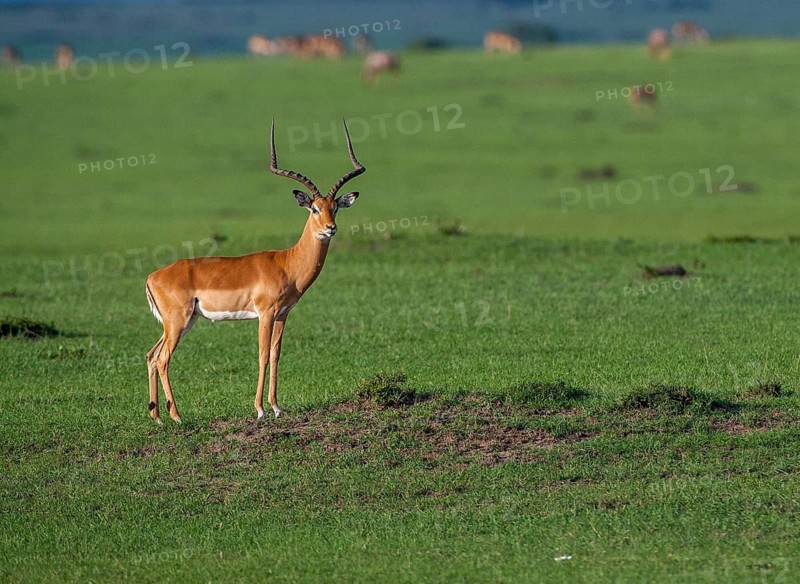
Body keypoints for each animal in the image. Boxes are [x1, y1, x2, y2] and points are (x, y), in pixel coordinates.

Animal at [145, 120, 365, 424]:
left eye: (335, 208)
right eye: (314, 209)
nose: (330, 228)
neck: (287, 263)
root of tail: (151, 277)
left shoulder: (283, 314)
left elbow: (275, 355)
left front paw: (277, 407)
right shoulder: (266, 313)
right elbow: (261, 355)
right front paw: (260, 409)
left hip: (182, 322)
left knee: (151, 356)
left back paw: (156, 417)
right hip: (177, 322)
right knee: (163, 359)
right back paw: (176, 416)